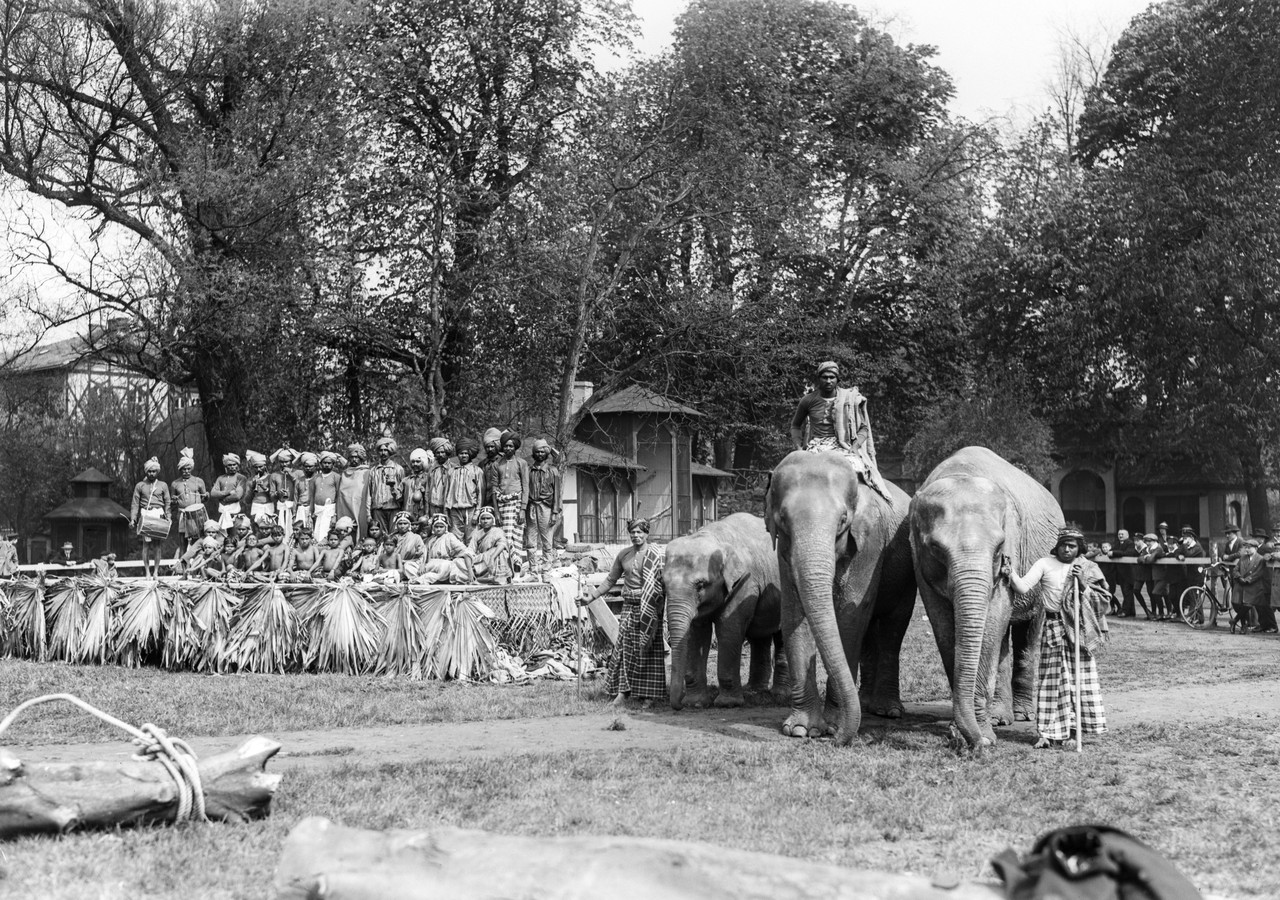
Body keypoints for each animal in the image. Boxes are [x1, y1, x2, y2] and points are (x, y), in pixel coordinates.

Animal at [665, 514, 783, 711]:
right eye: (663, 583)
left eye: (700, 585)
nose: (679, 704)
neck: (712, 536)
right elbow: (697, 633)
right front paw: (696, 704)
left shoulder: (745, 583)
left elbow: (728, 628)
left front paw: (727, 704)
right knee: (759, 636)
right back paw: (755, 691)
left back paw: (781, 694)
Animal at [762, 450, 916, 747]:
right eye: (783, 519)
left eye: (843, 520)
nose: (838, 740)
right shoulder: (783, 551)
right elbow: (793, 613)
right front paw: (803, 730)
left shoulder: (871, 543)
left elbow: (850, 612)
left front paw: (833, 726)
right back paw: (865, 703)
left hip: (906, 576)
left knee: (892, 629)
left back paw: (887, 710)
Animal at [911, 445, 1059, 752]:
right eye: (935, 548)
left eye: (999, 546)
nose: (980, 745)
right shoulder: (918, 561)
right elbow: (943, 624)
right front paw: (964, 733)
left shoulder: (1013, 541)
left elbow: (995, 614)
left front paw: (982, 734)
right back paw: (1001, 718)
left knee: (1028, 634)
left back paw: (1022, 715)